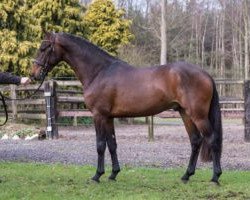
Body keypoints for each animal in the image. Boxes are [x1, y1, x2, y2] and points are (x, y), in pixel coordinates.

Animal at [30, 32, 223, 184]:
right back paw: (186, 175)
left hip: (198, 115)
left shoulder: (98, 116)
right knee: (195, 141)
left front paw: (97, 176)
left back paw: (215, 177)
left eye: (44, 48)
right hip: (185, 114)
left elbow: (100, 145)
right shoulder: (108, 117)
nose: (33, 74)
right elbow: (112, 144)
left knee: (212, 140)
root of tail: (205, 74)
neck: (99, 71)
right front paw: (113, 174)